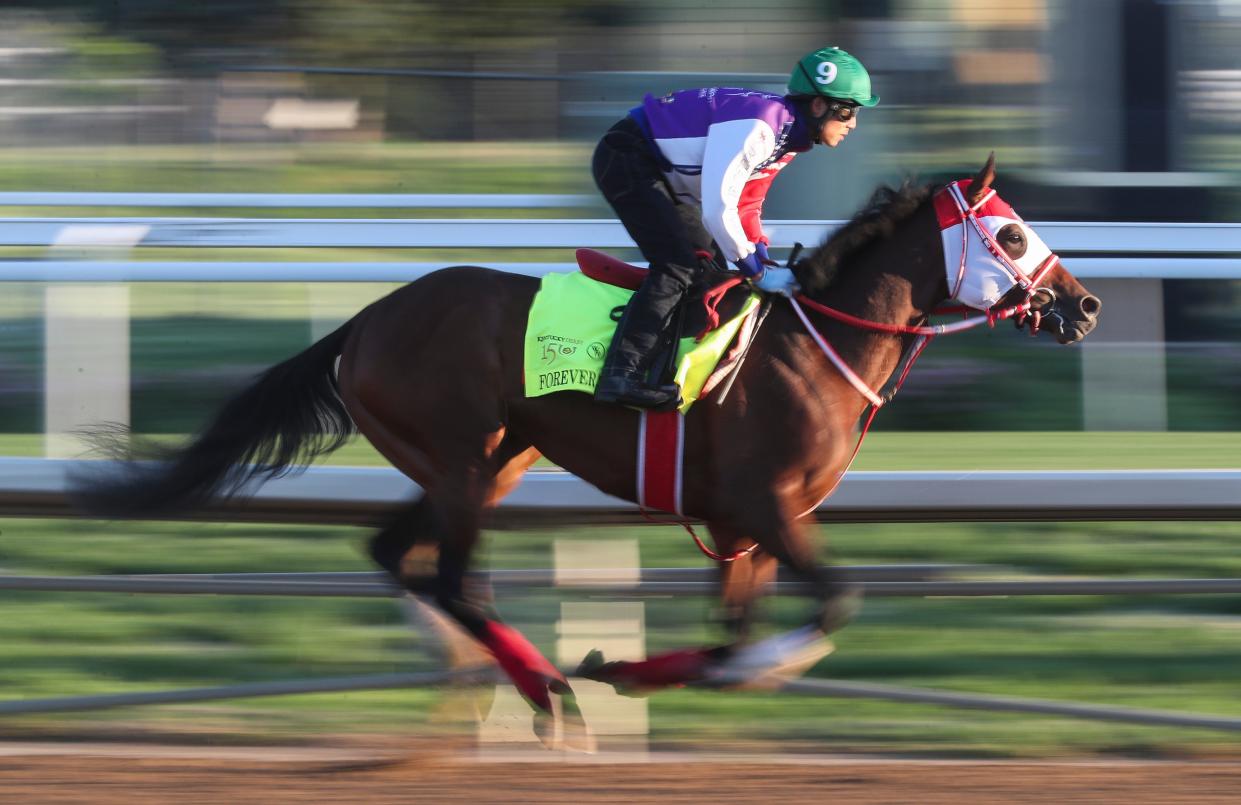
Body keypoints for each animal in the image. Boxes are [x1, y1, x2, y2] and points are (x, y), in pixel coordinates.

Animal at [75, 155, 1097, 714]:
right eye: (1009, 234)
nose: (1081, 305)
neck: (814, 344)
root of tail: (365, 318)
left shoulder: (743, 526)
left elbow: (730, 634)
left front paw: (643, 667)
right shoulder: (764, 506)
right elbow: (832, 603)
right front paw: (724, 670)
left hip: (485, 462)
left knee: (394, 553)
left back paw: (475, 664)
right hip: (460, 460)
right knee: (449, 574)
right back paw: (538, 687)